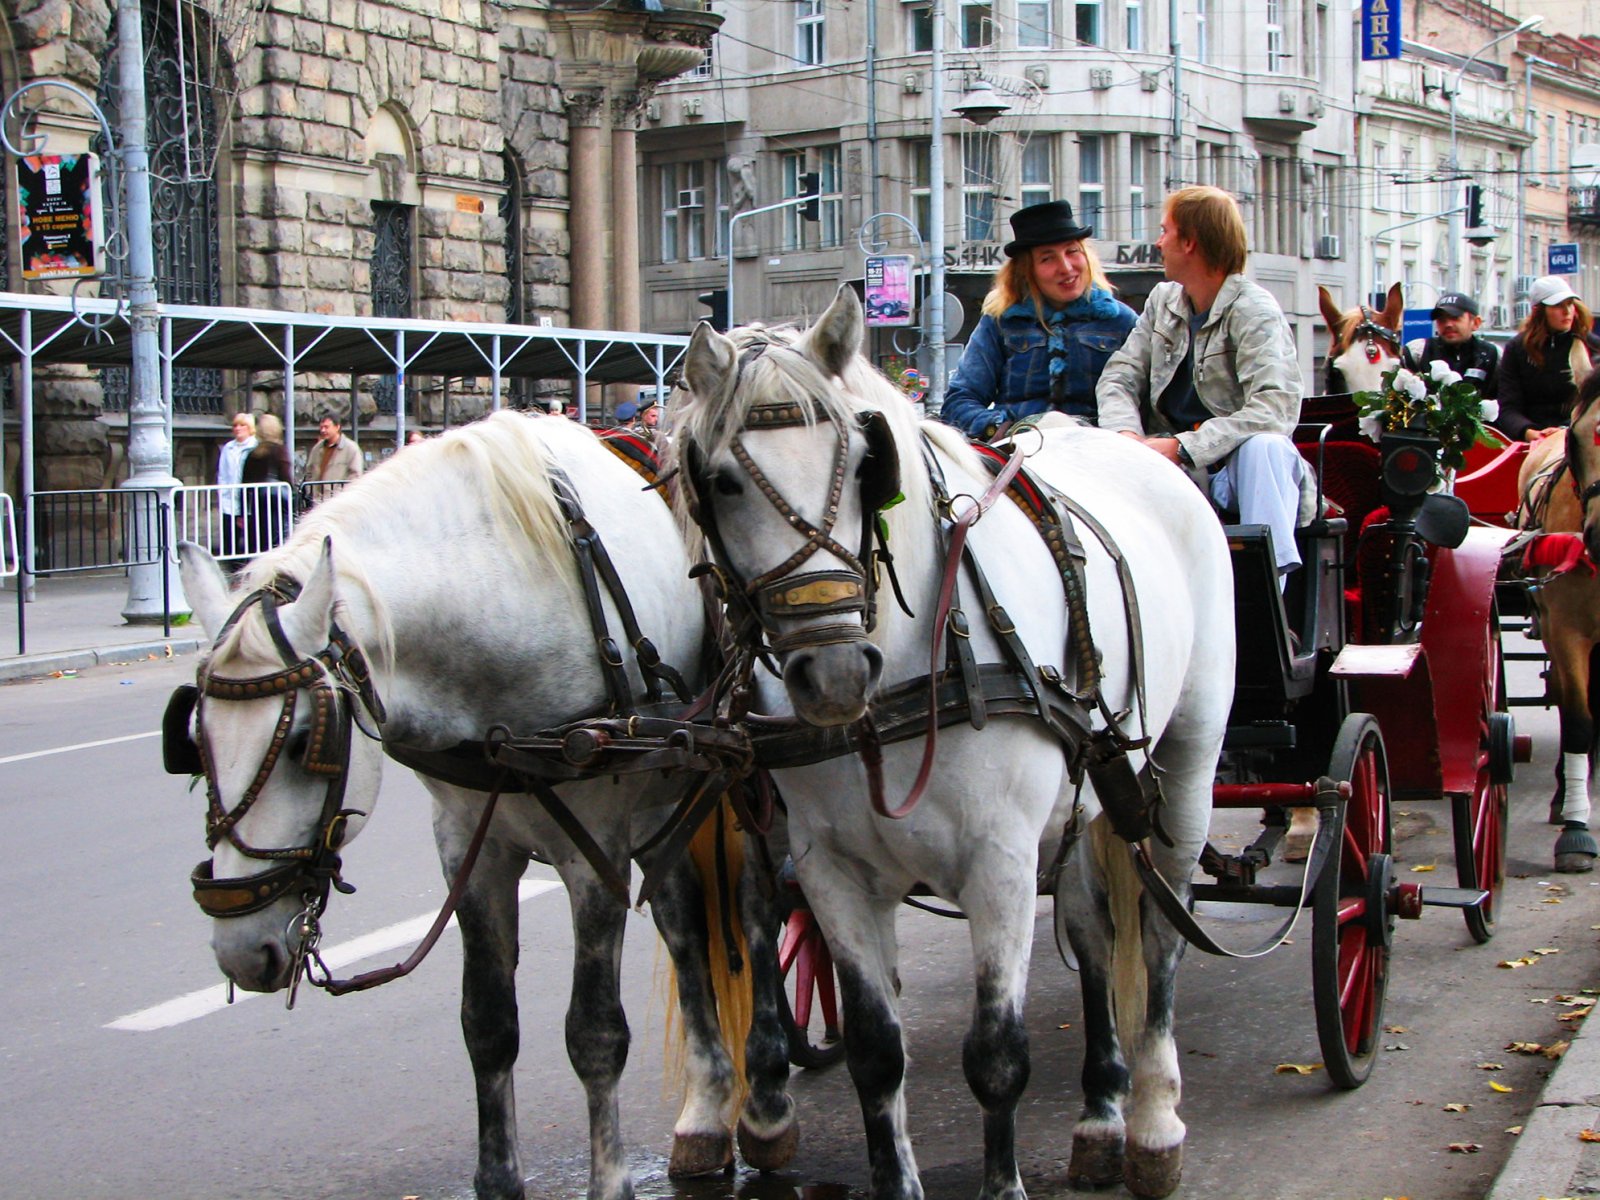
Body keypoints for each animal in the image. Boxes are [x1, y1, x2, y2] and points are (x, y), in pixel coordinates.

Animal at [176, 409, 800, 1196]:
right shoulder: (470, 847)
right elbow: (488, 1025)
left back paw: (768, 1103)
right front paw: (499, 1178)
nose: (241, 949)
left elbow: (595, 1033)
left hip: (746, 782)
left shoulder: (593, 850)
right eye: (194, 742)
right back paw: (707, 1113)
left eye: (299, 745)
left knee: (756, 913)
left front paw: (610, 1180)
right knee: (686, 926)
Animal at [665, 286, 1235, 1196]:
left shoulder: (998, 862)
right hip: (1085, 798)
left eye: (866, 461)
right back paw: (1102, 1111)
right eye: (718, 482)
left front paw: (1004, 1179)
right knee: (1094, 932)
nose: (833, 673)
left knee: (1159, 927)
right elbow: (875, 1054)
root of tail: (1147, 454)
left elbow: (997, 1056)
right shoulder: (833, 872)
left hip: (1185, 765)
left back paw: (1152, 1120)